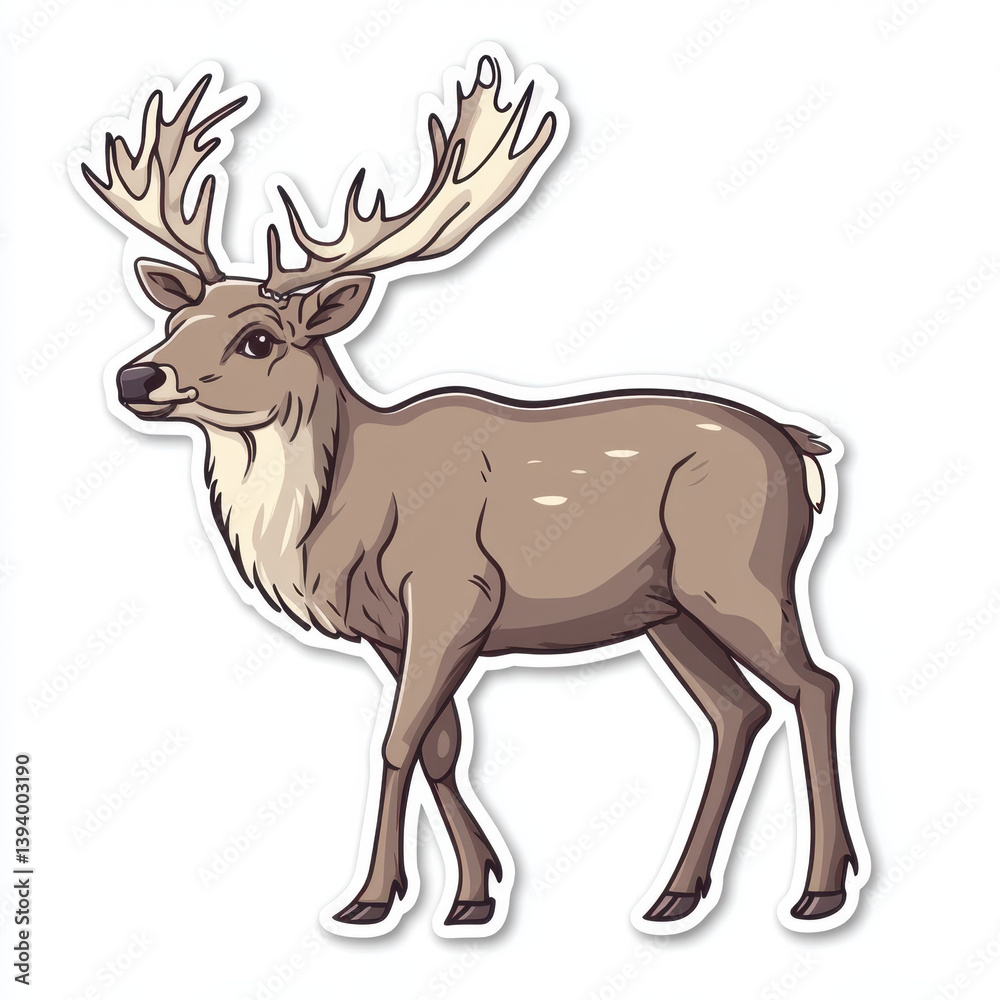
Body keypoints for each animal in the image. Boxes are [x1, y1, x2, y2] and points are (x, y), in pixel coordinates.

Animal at [75, 47, 867, 938]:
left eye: (259, 338)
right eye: (176, 324)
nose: (135, 377)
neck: (345, 512)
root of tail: (803, 448)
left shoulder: (455, 587)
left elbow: (397, 741)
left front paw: (369, 898)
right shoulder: (390, 629)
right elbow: (441, 745)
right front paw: (474, 894)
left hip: (737, 570)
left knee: (816, 684)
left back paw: (821, 888)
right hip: (667, 610)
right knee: (736, 712)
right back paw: (675, 894)